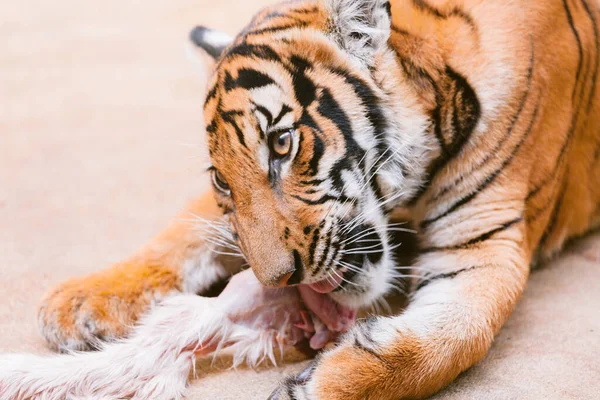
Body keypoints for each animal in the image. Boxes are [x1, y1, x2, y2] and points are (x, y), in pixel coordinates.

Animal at [36, 0, 600, 398]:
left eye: (282, 144)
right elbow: (185, 229)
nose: (276, 281)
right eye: (222, 180)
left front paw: (321, 384)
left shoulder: (484, 241)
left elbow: (456, 338)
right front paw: (81, 302)